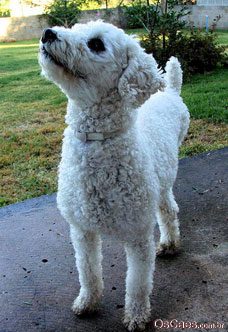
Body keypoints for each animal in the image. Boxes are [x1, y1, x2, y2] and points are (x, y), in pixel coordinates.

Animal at [38, 22, 190, 330]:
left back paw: (169, 243)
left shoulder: (138, 236)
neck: (99, 140)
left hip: (161, 182)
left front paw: (136, 315)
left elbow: (138, 283)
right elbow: (88, 271)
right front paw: (87, 302)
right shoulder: (81, 230)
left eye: (96, 44)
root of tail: (170, 91)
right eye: (74, 27)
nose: (48, 32)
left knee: (169, 210)